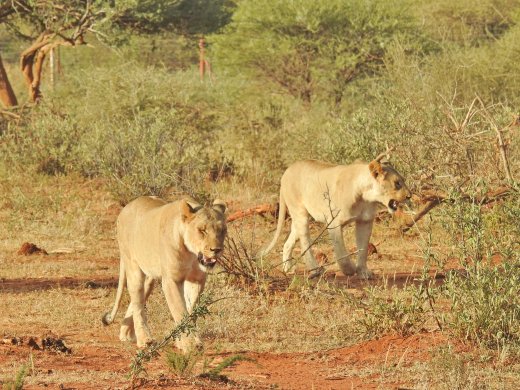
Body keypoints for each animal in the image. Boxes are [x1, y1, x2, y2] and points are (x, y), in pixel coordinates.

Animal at [101, 195, 225, 350]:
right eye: (202, 230)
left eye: (222, 230)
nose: (217, 250)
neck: (192, 254)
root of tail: (125, 209)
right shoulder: (171, 280)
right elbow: (180, 310)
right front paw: (189, 344)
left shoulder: (197, 280)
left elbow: (191, 311)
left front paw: (186, 341)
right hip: (133, 267)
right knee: (138, 304)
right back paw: (144, 340)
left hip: (149, 278)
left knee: (137, 301)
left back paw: (125, 334)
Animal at [262, 157, 412, 278]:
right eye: (397, 183)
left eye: (403, 181)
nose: (409, 196)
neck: (365, 196)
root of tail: (286, 171)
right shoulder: (334, 222)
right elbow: (341, 252)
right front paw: (349, 270)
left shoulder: (365, 221)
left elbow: (363, 249)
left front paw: (363, 272)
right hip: (300, 212)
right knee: (305, 241)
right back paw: (315, 269)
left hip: (299, 218)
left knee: (288, 242)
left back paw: (288, 268)